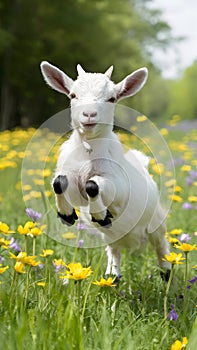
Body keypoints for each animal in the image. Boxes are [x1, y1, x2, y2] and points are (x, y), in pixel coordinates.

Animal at [40, 61, 171, 280]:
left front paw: (101, 214)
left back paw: (167, 274)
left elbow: (93, 185)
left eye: (112, 98)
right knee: (114, 252)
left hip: (157, 223)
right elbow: (59, 182)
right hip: (112, 239)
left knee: (161, 246)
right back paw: (113, 275)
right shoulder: (73, 183)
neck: (89, 152)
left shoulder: (118, 186)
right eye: (73, 95)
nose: (89, 114)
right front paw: (66, 214)